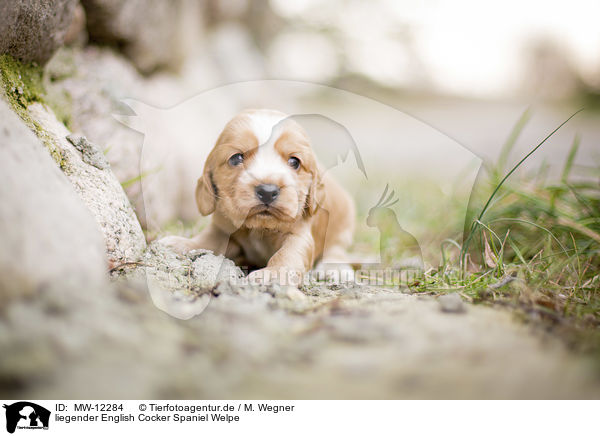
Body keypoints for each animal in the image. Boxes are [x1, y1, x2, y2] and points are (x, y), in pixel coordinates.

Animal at [161, 110, 356, 282]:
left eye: (294, 162)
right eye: (236, 158)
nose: (268, 191)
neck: (259, 228)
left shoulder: (299, 232)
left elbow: (288, 253)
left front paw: (273, 274)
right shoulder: (222, 227)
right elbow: (208, 239)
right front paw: (182, 244)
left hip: (343, 225)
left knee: (336, 249)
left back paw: (336, 269)